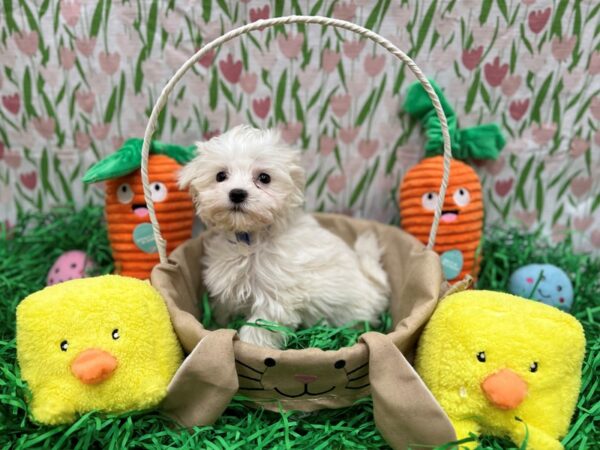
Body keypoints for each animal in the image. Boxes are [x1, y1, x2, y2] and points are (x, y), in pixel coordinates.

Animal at [179, 125, 390, 350]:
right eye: (220, 176)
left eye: (264, 178)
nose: (237, 193)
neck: (250, 239)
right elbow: (224, 310)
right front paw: (215, 326)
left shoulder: (276, 298)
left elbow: (259, 328)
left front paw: (250, 346)